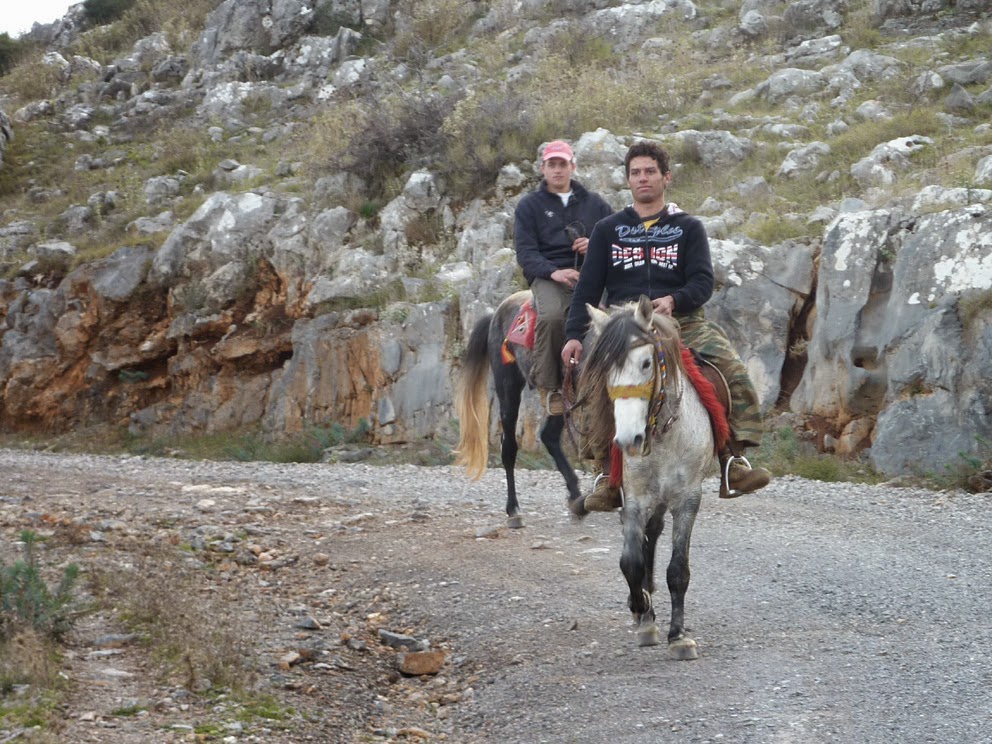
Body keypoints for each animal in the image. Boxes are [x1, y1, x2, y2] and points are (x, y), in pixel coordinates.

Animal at [456, 290, 584, 528]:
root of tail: (495, 315)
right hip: (509, 387)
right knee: (509, 447)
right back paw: (513, 508)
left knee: (549, 435)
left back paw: (574, 492)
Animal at [576, 296, 716, 656]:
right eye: (605, 369)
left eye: (645, 363)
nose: (629, 440)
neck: (664, 438)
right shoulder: (636, 497)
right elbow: (630, 561)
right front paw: (642, 611)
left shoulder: (688, 498)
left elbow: (678, 569)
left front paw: (678, 636)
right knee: (645, 540)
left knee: (654, 535)